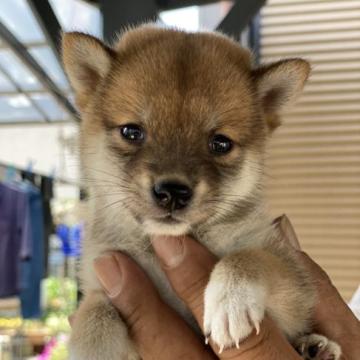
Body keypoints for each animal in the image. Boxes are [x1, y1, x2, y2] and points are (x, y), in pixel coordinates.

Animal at [63, 25, 342, 360]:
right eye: (131, 131)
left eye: (220, 143)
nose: (172, 191)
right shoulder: (104, 276)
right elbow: (95, 310)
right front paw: (94, 346)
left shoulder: (291, 290)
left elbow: (247, 258)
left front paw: (230, 299)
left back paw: (316, 346)